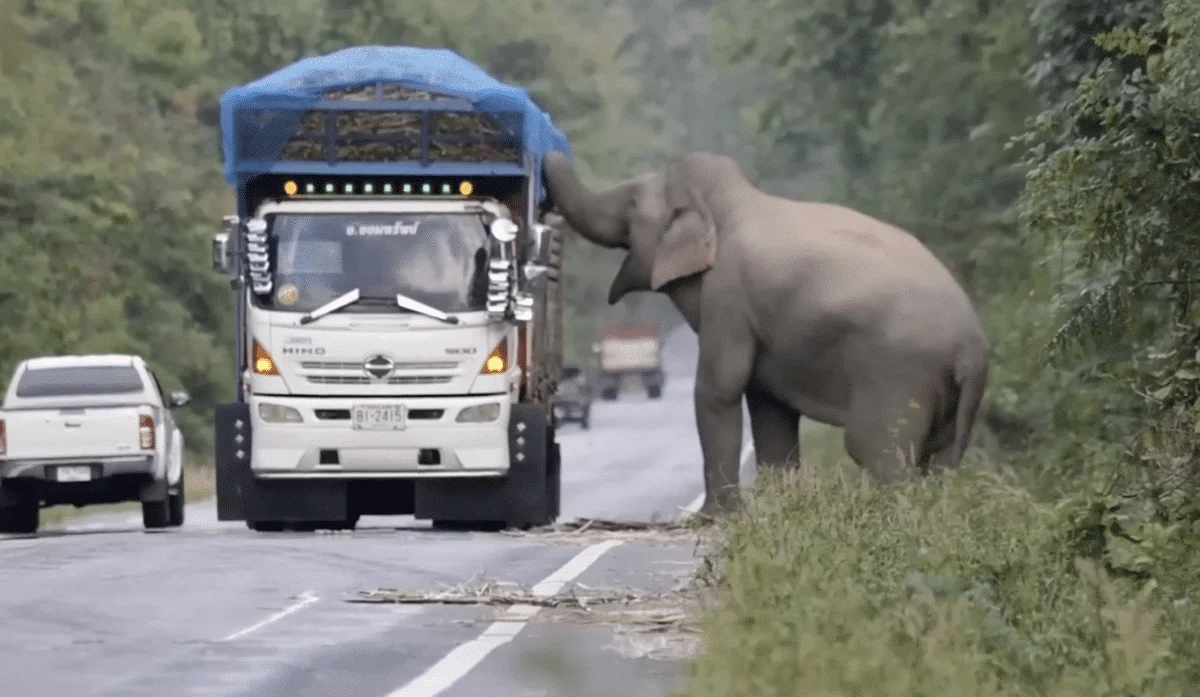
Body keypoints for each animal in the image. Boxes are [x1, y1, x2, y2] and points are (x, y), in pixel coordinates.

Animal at [544, 149, 993, 513]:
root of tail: (971, 345)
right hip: (947, 394)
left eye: (632, 202)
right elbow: (769, 406)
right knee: (941, 457)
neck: (729, 200)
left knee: (875, 447)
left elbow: (720, 387)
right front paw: (779, 507)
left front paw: (715, 518)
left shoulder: (727, 296)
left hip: (898, 373)